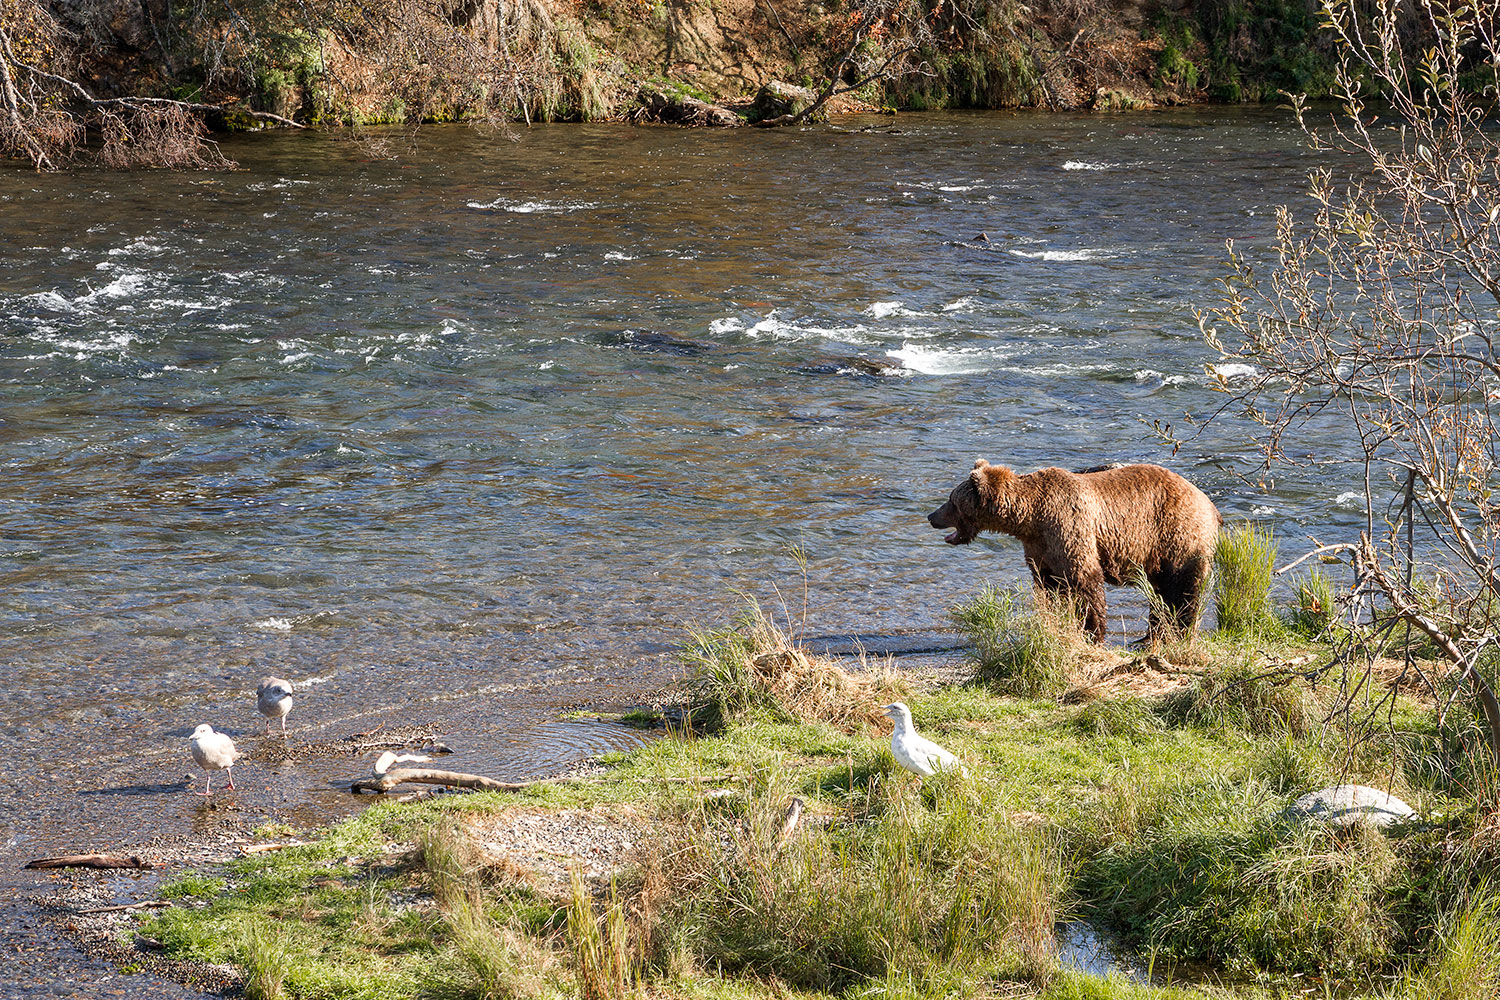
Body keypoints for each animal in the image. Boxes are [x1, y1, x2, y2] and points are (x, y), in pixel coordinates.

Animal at [930, 458, 1224, 641]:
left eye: (951, 501)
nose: (932, 516)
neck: (1030, 518)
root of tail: (1209, 502)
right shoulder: (1040, 548)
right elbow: (1049, 586)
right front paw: (1057, 621)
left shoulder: (1069, 525)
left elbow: (1084, 579)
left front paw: (1093, 631)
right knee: (1160, 591)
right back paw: (1151, 634)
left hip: (1177, 532)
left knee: (1183, 587)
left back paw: (1181, 629)